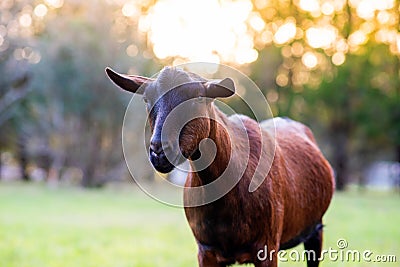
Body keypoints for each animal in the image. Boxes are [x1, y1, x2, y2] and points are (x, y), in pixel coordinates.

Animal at [105, 65, 334, 267]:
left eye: (199, 98)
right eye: (146, 99)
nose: (159, 151)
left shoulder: (267, 246)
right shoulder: (206, 250)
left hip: (315, 228)